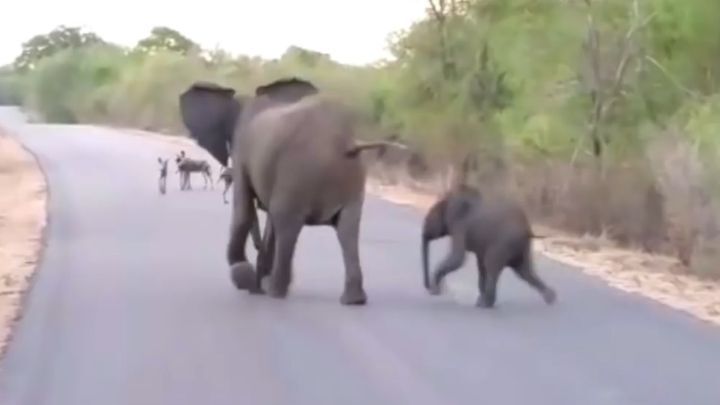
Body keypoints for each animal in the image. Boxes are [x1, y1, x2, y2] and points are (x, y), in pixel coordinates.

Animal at [176, 77, 396, 304]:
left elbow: (243, 210)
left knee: (287, 224)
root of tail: (343, 144)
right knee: (348, 229)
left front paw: (246, 277)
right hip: (349, 180)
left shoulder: (242, 152)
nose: (255, 284)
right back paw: (353, 300)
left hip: (297, 175)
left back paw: (275, 291)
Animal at [422, 185, 556, 308]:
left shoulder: (460, 226)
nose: (432, 290)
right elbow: (480, 265)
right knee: (523, 271)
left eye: (429, 218)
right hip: (522, 246)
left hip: (504, 243)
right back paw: (551, 299)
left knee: (492, 265)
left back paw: (486, 305)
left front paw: (435, 290)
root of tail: (528, 230)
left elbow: (458, 259)